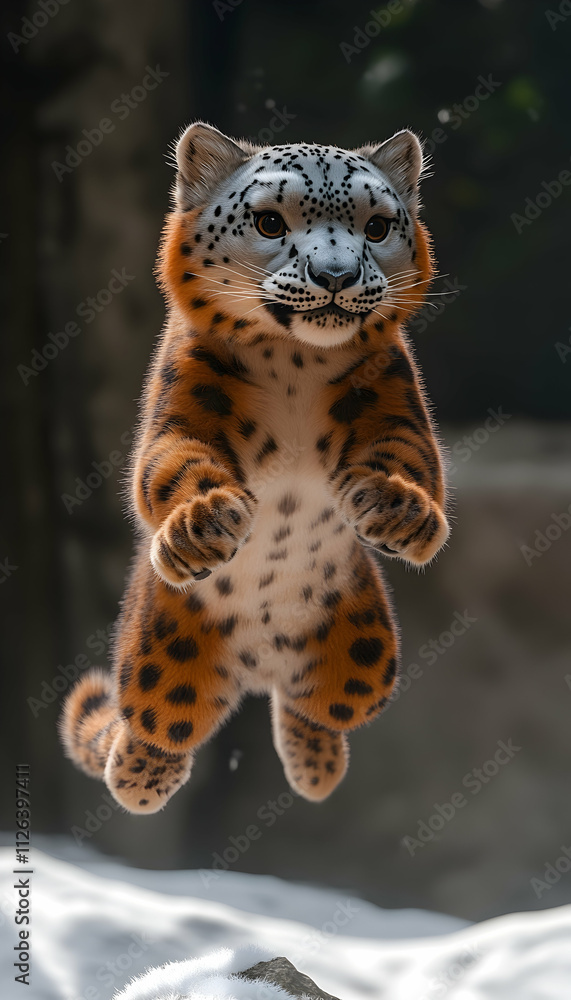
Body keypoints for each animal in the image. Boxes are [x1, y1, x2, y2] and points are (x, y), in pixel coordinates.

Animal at [60, 121, 450, 814]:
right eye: (270, 221)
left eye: (377, 227)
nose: (335, 274)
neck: (297, 362)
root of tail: (262, 658)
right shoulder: (184, 413)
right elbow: (177, 465)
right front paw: (204, 524)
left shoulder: (396, 404)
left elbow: (409, 457)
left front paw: (396, 510)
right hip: (156, 660)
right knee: (156, 723)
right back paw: (137, 779)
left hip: (366, 658)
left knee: (314, 707)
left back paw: (316, 768)